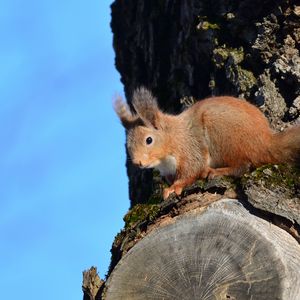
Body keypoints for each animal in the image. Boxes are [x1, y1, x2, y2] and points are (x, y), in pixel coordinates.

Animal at [115, 86, 300, 199]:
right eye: (127, 145)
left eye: (149, 140)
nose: (138, 163)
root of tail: (265, 142)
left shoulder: (190, 147)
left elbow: (192, 169)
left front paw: (174, 187)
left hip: (224, 135)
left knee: (243, 165)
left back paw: (216, 171)